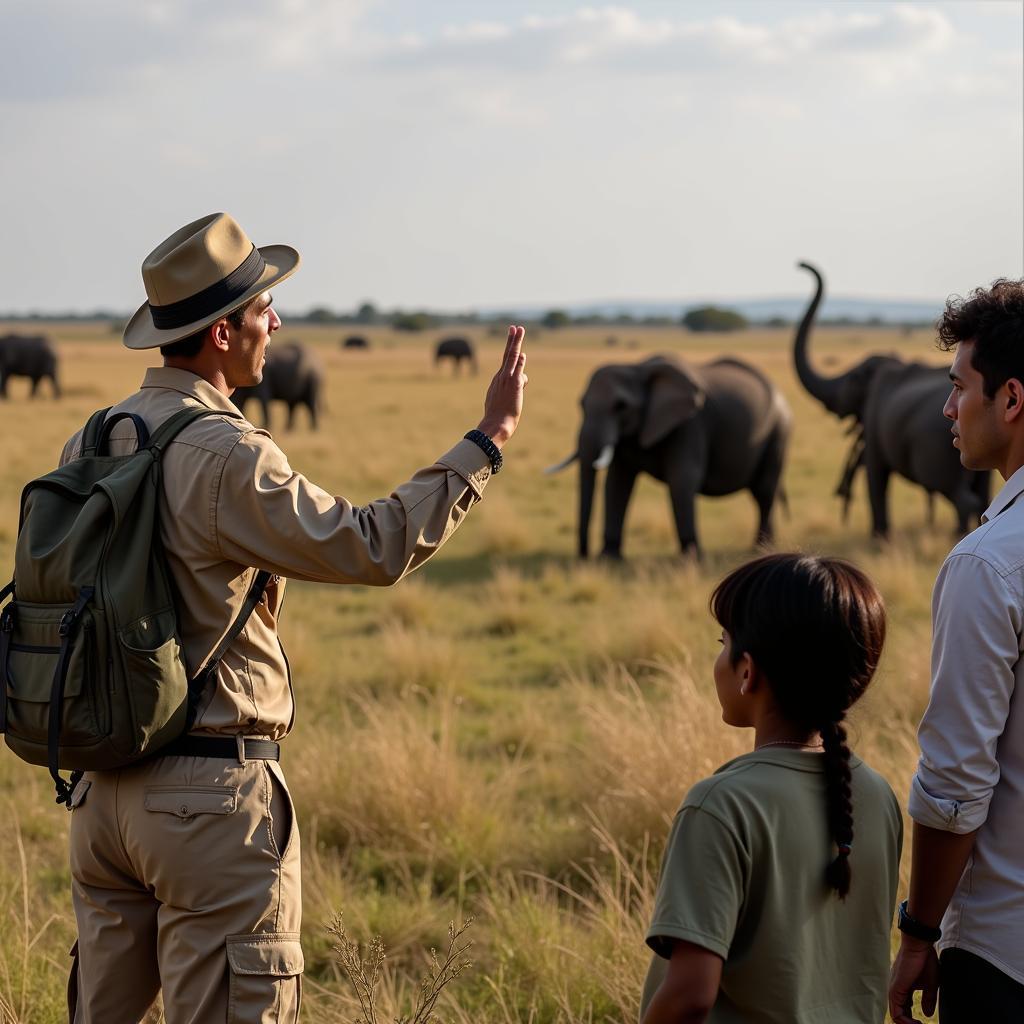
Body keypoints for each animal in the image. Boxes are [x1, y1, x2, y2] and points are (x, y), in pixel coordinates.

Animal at [544, 354, 790, 561]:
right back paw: (766, 547)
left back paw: (759, 549)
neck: (637, 368)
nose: (584, 557)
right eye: (581, 404)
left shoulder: (689, 424)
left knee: (764, 491)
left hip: (778, 433)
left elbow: (682, 480)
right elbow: (617, 484)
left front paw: (691, 559)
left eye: (621, 406)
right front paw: (608, 558)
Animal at [786, 262, 987, 536]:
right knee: (984, 491)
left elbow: (875, 475)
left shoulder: (873, 418)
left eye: (849, 382)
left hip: (943, 447)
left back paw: (958, 534)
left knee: (961, 497)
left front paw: (879, 539)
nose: (800, 265)